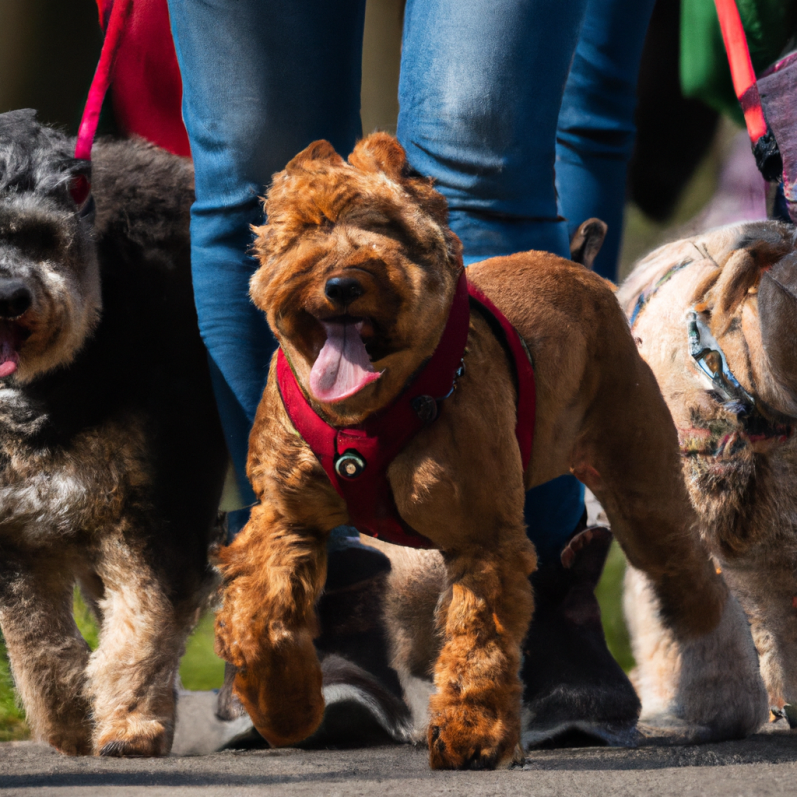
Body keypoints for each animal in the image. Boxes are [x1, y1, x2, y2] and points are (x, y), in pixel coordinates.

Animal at [0, 110, 227, 752]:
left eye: (40, 236)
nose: (10, 297)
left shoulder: (154, 503)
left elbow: (145, 616)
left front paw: (129, 721)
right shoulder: (16, 523)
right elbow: (36, 641)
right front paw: (70, 719)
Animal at [215, 134, 768, 768]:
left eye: (386, 229)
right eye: (307, 229)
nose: (342, 284)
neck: (366, 414)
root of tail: (576, 267)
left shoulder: (483, 537)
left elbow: (478, 642)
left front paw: (472, 734)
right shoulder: (287, 522)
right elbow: (262, 622)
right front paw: (285, 709)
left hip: (641, 482)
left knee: (693, 581)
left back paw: (723, 704)